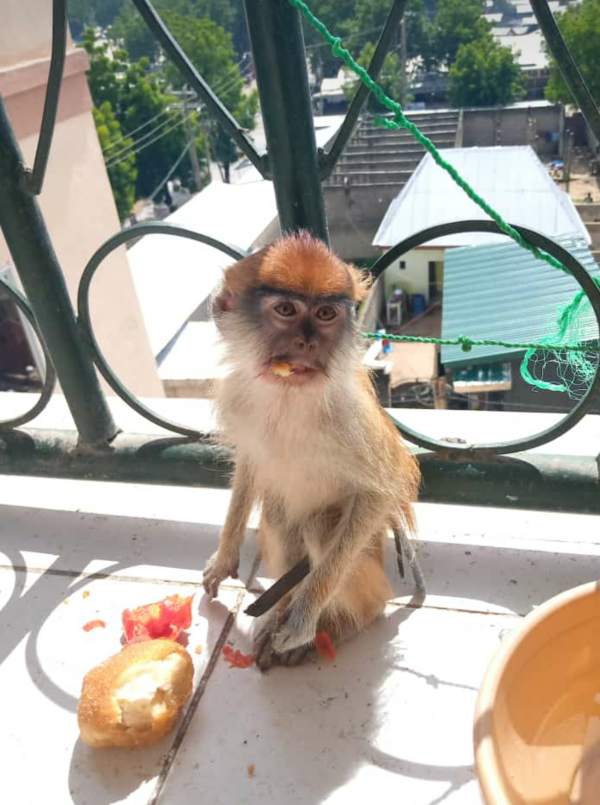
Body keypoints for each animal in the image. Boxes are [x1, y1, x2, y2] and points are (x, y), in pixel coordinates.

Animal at [202, 231, 421, 671]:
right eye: (286, 310)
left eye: (325, 314)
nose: (306, 342)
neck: (288, 393)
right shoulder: (239, 394)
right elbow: (250, 463)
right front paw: (224, 556)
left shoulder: (350, 412)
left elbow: (382, 490)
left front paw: (303, 619)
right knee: (279, 522)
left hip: (368, 554)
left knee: (320, 528)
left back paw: (341, 621)